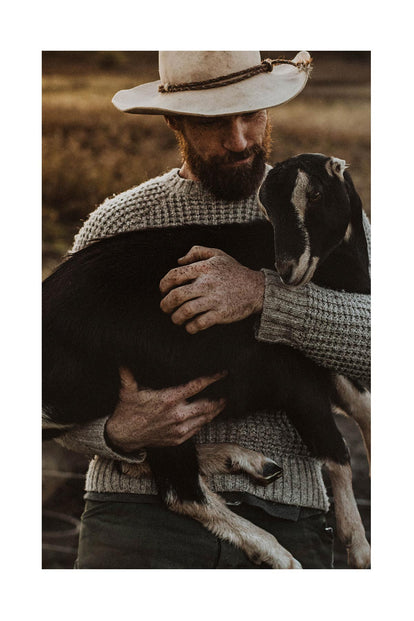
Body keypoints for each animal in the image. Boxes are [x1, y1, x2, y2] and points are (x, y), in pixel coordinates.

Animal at [42, 154, 372, 568]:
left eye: (314, 194)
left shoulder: (323, 360)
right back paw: (276, 552)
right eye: (267, 205)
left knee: (136, 462)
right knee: (179, 490)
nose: (286, 269)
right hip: (154, 388)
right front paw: (358, 546)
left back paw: (245, 461)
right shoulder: (292, 377)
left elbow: (362, 404)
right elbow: (336, 451)